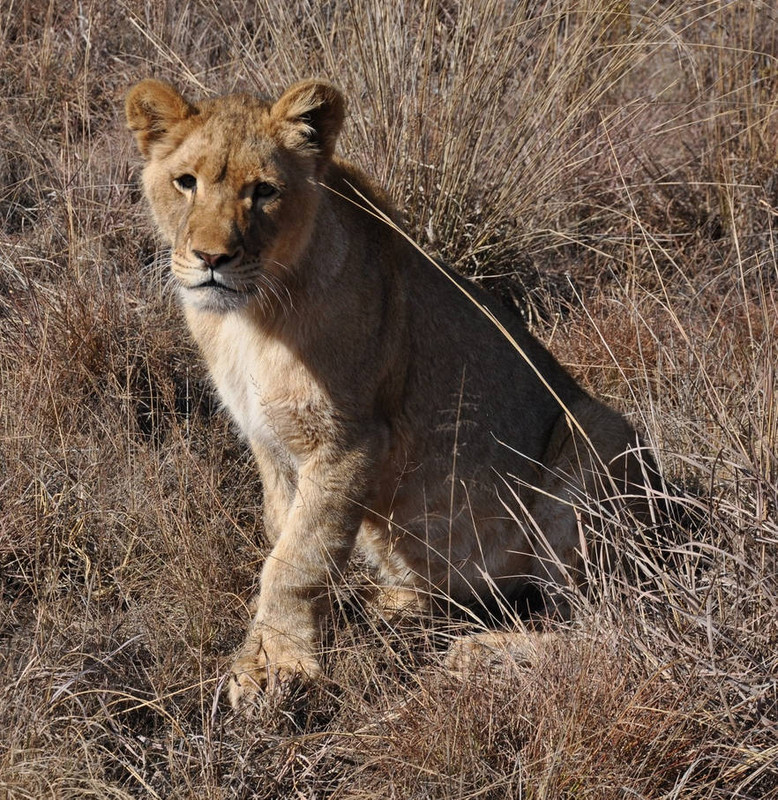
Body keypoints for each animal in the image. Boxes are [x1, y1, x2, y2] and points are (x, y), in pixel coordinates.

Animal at [126, 78, 656, 708]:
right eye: (186, 182)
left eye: (264, 191)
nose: (211, 258)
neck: (247, 321)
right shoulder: (271, 444)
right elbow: (286, 536)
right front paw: (276, 649)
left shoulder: (350, 440)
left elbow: (296, 561)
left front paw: (276, 666)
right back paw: (393, 607)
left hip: (600, 435)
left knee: (611, 629)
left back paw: (479, 656)